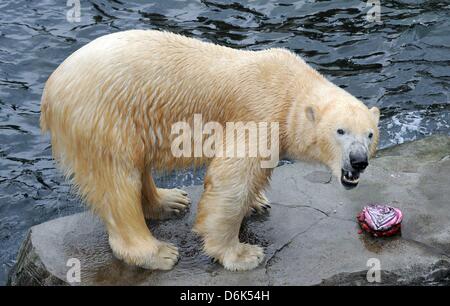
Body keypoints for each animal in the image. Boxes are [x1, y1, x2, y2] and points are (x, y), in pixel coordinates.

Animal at [41, 29, 380, 272]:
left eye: (370, 134)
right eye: (340, 131)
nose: (359, 161)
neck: (290, 88)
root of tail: (51, 90)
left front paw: (257, 203)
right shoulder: (260, 116)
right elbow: (232, 177)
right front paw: (241, 254)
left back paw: (170, 201)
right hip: (104, 118)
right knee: (116, 183)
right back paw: (157, 252)